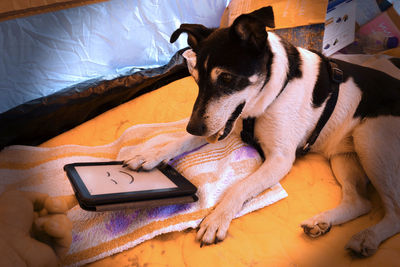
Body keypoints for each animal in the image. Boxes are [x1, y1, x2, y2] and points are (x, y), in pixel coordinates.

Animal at [123, 6, 398, 258]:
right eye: (197, 79)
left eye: (226, 78)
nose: (195, 127)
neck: (273, 91)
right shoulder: (225, 123)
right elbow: (177, 141)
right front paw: (147, 155)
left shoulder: (279, 159)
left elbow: (239, 187)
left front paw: (216, 219)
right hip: (344, 155)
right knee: (360, 202)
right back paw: (322, 222)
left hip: (369, 139)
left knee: (394, 211)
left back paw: (368, 236)